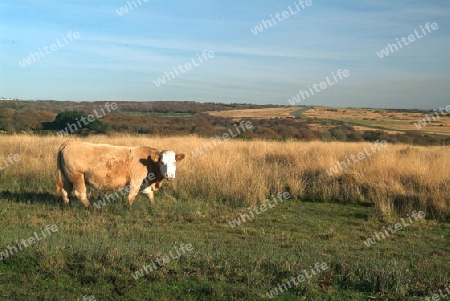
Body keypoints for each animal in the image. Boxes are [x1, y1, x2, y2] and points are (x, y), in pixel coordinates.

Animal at [55, 141, 185, 209]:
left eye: (174, 162)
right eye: (162, 162)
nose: (169, 175)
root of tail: (70, 143)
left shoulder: (145, 182)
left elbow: (149, 194)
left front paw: (153, 206)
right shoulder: (136, 180)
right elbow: (132, 195)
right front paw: (130, 208)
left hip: (67, 177)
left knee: (65, 191)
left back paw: (67, 206)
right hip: (77, 177)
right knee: (80, 194)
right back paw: (91, 208)